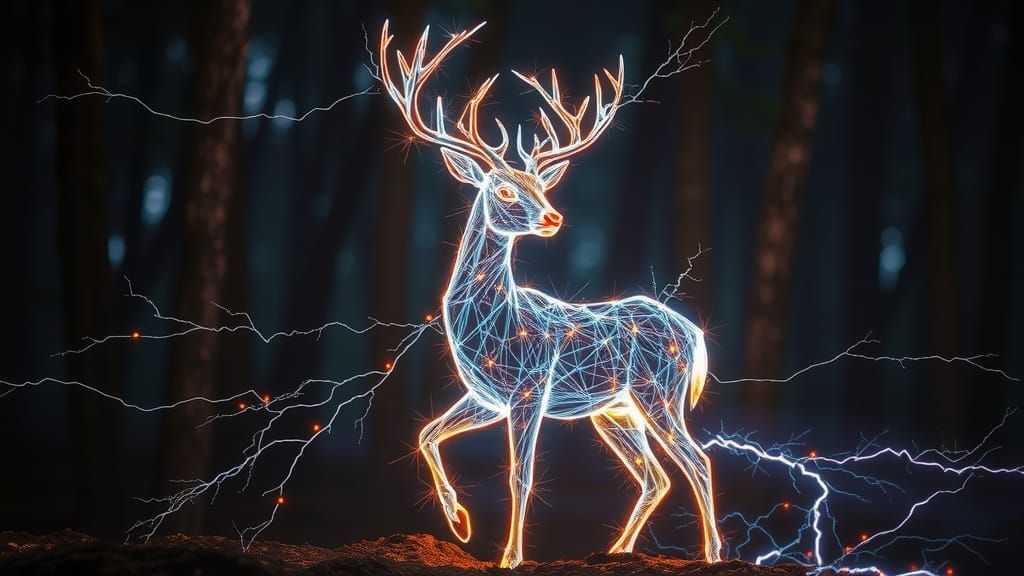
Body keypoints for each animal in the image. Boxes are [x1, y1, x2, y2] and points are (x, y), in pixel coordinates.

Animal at [379, 21, 722, 568]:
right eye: (503, 189)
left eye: (541, 186)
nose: (553, 216)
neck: (497, 324)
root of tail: (693, 333)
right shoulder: (486, 395)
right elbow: (424, 433)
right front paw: (459, 522)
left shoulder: (528, 389)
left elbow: (520, 476)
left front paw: (509, 557)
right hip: (613, 409)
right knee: (656, 475)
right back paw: (616, 550)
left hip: (657, 390)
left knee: (699, 460)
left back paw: (711, 553)